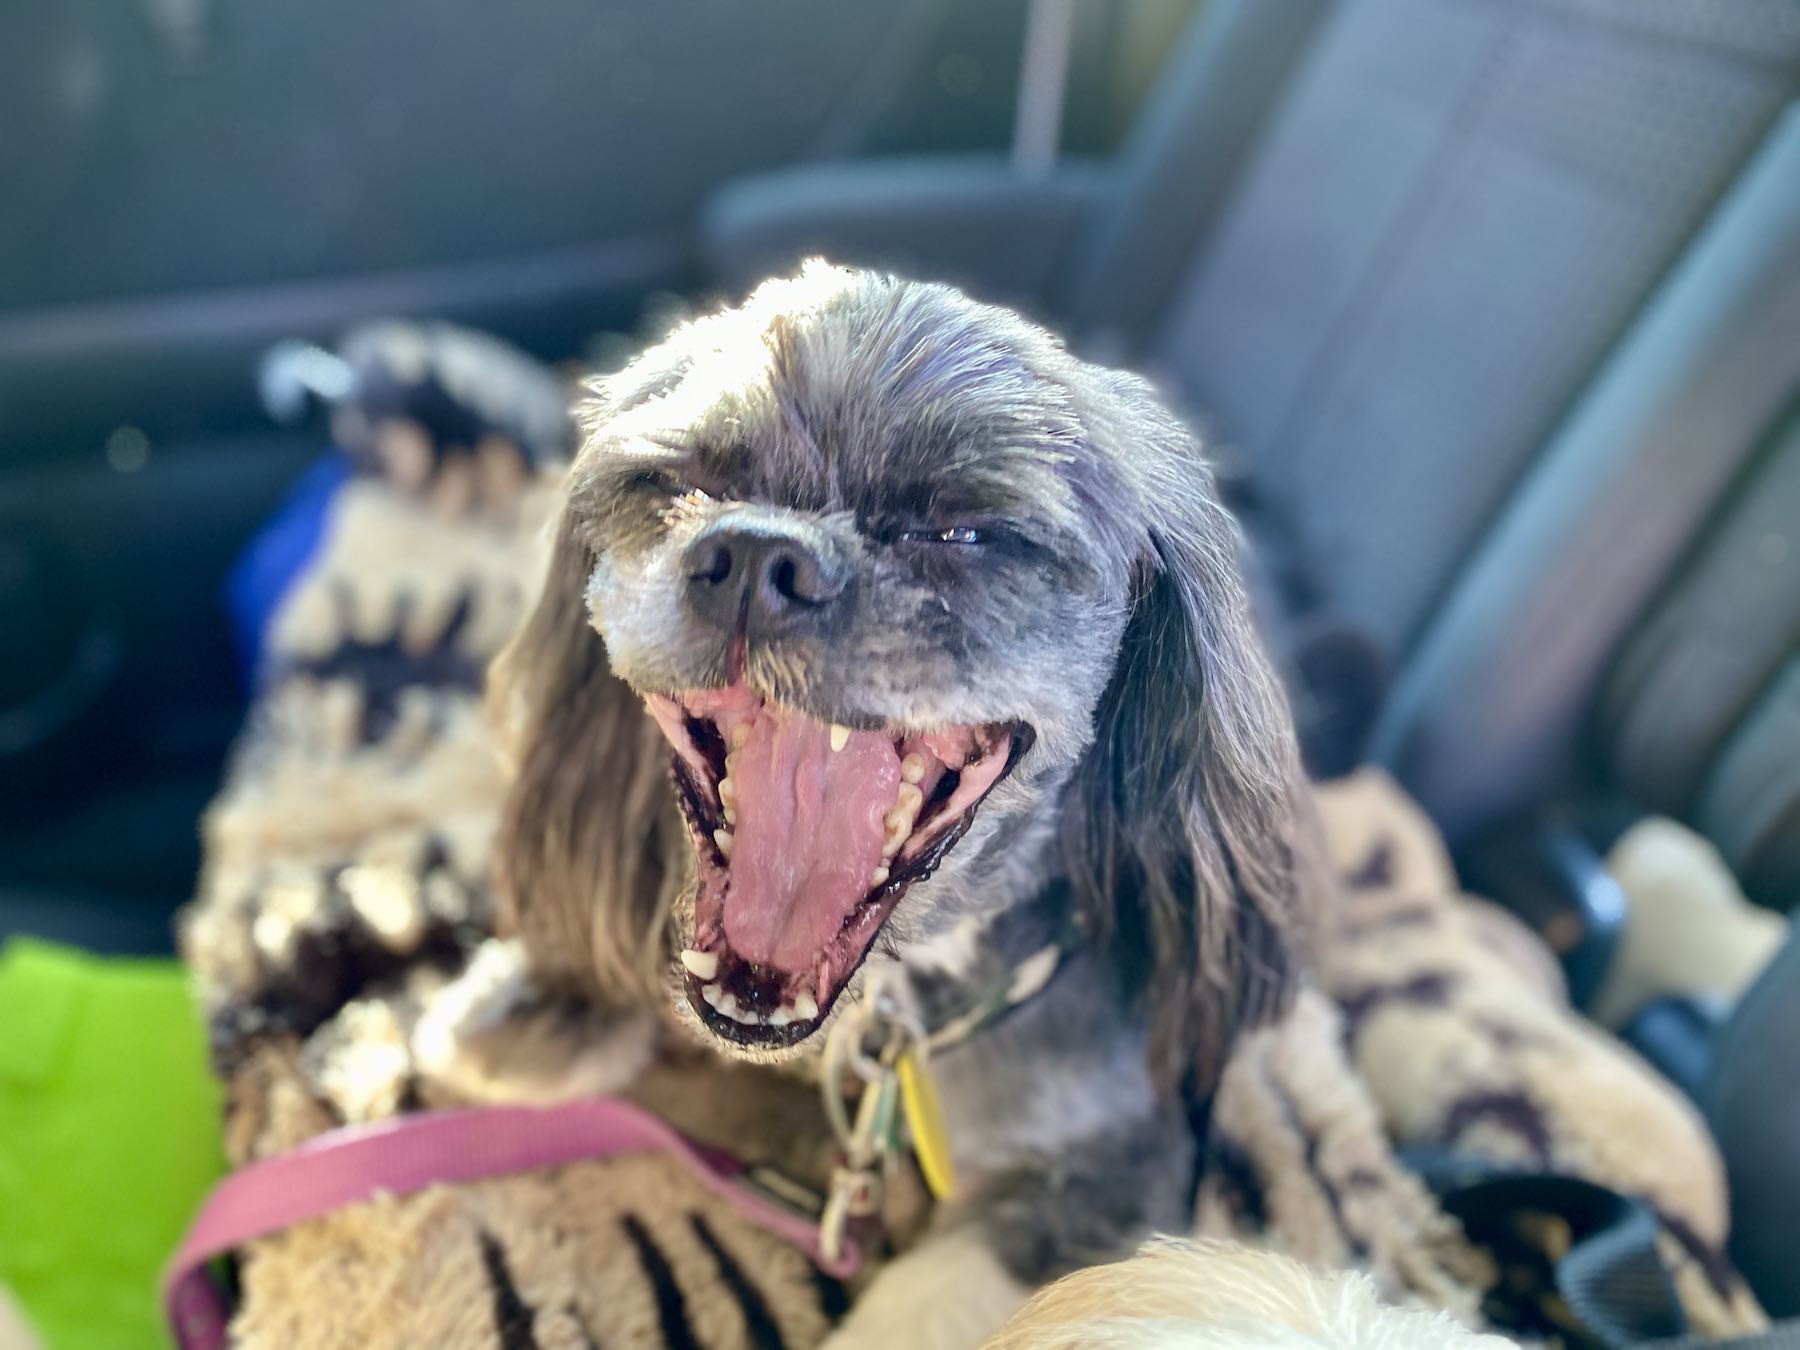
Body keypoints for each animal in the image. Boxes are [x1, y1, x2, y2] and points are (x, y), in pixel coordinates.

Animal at [482, 264, 1324, 1350]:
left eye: (957, 530)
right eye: (677, 485)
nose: (755, 554)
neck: (889, 1012)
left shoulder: (1113, 1174)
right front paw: (542, 1009)